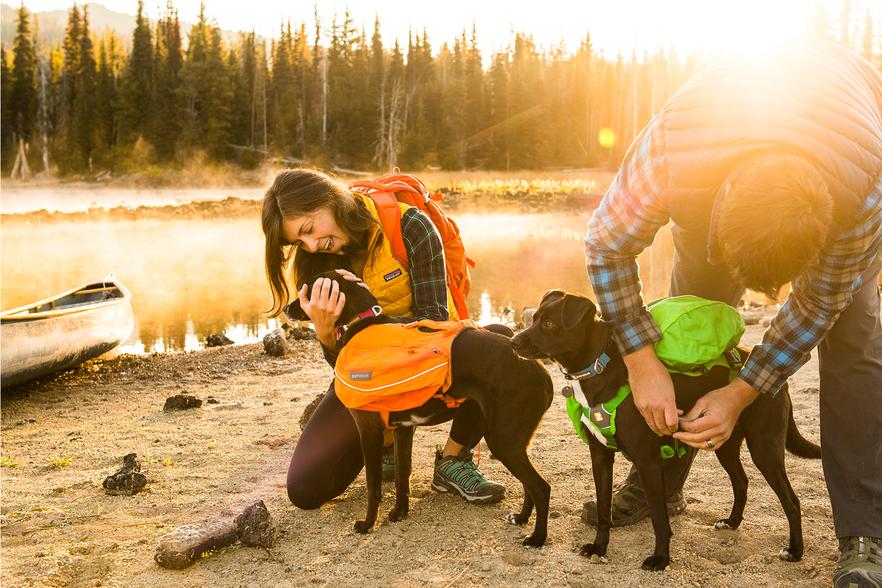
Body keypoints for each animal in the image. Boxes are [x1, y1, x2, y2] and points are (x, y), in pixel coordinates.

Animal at [508, 292, 820, 572]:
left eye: (549, 324)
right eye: (534, 319)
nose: (513, 342)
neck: (599, 368)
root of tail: (775, 379)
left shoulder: (647, 461)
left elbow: (659, 517)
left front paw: (660, 559)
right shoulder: (600, 456)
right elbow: (604, 509)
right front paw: (599, 547)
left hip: (764, 446)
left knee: (792, 500)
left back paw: (795, 551)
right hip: (723, 441)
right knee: (741, 482)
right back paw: (731, 522)